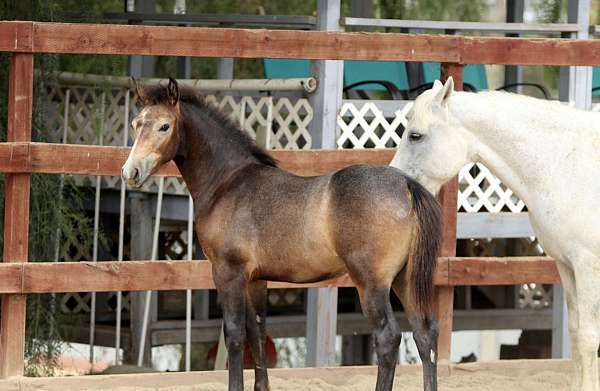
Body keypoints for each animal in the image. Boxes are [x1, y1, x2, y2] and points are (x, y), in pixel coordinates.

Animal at [122, 79, 440, 391]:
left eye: (164, 126)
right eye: (136, 124)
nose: (130, 172)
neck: (228, 183)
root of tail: (407, 185)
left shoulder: (228, 273)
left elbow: (234, 335)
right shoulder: (255, 279)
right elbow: (257, 332)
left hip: (371, 283)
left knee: (388, 338)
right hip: (404, 279)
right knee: (425, 334)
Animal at [392, 79, 596, 391]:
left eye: (415, 136)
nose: (392, 181)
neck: (565, 163)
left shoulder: (588, 267)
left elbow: (588, 337)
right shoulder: (567, 265)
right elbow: (576, 332)